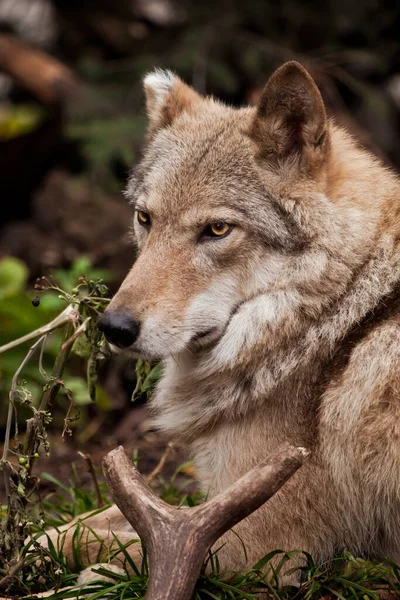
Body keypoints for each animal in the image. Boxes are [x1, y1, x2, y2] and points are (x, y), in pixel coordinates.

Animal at [44, 61, 400, 580]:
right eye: (145, 219)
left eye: (216, 229)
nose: (115, 328)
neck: (337, 317)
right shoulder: (216, 494)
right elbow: (84, 522)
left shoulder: (262, 543)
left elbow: (106, 543)